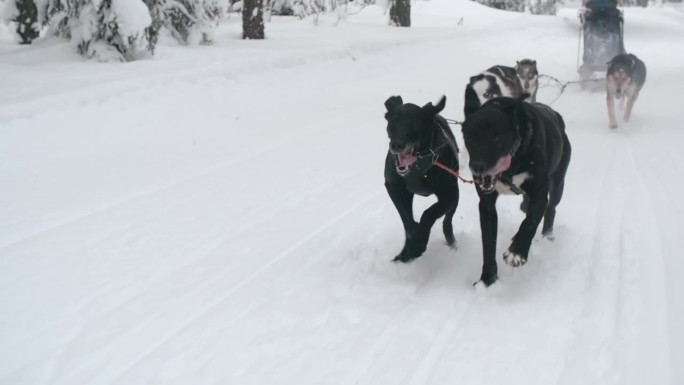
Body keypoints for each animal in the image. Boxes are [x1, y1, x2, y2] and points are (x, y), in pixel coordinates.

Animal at [384, 94, 460, 262]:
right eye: (393, 121)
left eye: (414, 123)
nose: (396, 145)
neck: (417, 166)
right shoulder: (393, 187)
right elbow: (406, 219)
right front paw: (411, 246)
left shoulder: (448, 195)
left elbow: (428, 213)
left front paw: (419, 243)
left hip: (455, 195)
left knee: (448, 220)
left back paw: (452, 243)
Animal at [460, 94, 572, 284]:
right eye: (469, 137)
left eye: (496, 137)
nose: (478, 167)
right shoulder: (486, 204)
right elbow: (488, 242)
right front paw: (487, 279)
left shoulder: (539, 195)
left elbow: (529, 223)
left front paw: (517, 252)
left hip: (558, 183)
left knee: (551, 208)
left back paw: (547, 235)